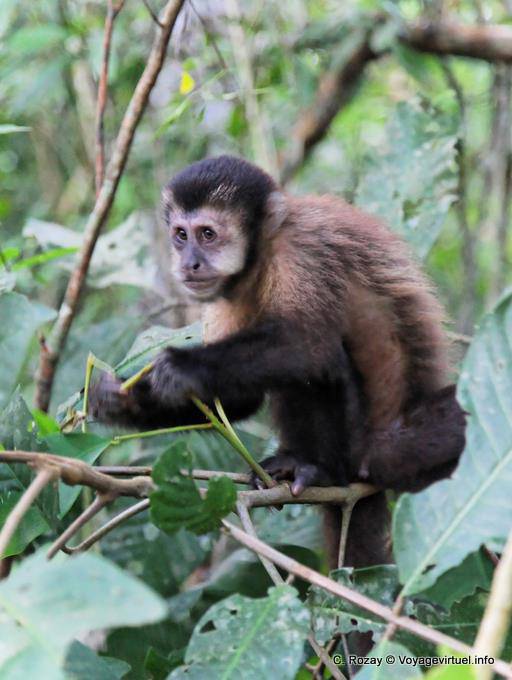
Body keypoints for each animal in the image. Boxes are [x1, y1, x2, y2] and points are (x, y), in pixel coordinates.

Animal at [90, 154, 466, 569]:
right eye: (181, 236)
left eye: (208, 234)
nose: (189, 263)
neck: (261, 256)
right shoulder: (226, 293)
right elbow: (239, 400)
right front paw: (120, 401)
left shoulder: (301, 250)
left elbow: (309, 347)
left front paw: (179, 367)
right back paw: (294, 464)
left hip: (389, 450)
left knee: (323, 366)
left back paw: (322, 472)